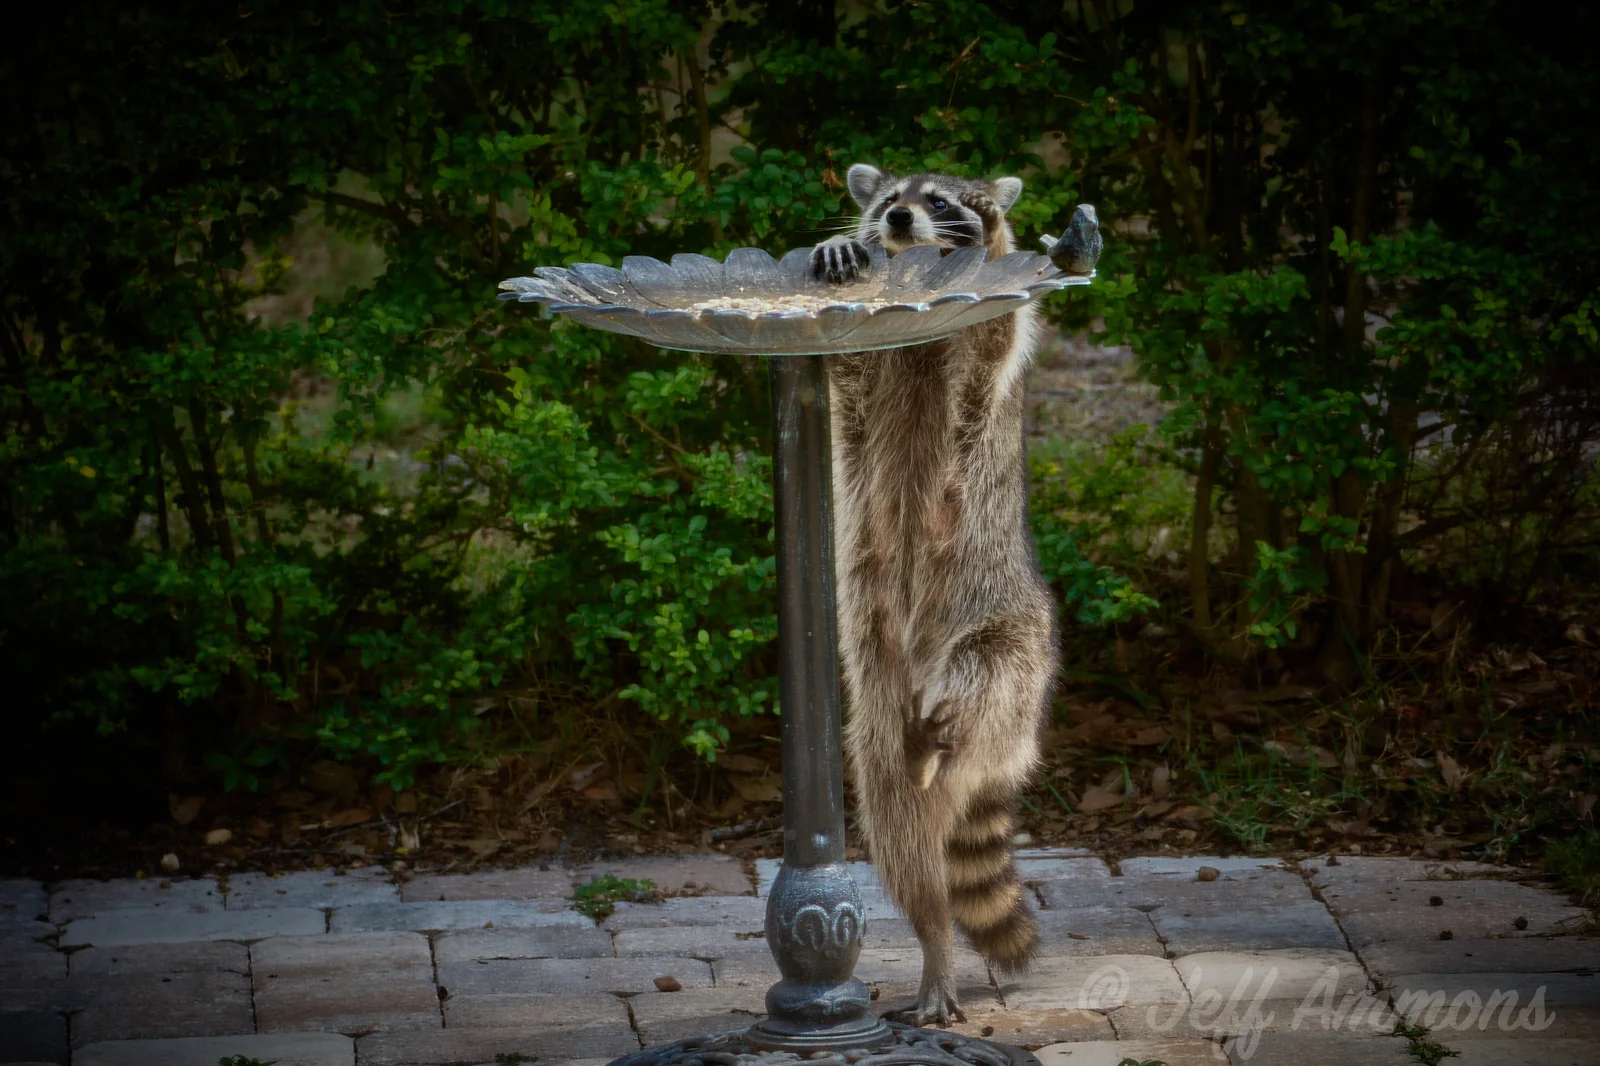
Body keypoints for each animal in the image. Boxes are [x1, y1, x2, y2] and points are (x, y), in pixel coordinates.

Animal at [808, 164, 1060, 1026]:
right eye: (890, 201)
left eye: (943, 200)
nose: (898, 221)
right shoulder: (872, 365)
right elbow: (846, 376)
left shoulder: (978, 369)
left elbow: (993, 342)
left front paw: (995, 240)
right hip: (875, 713)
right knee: (904, 841)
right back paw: (934, 940)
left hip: (1015, 645)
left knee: (980, 681)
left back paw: (949, 726)